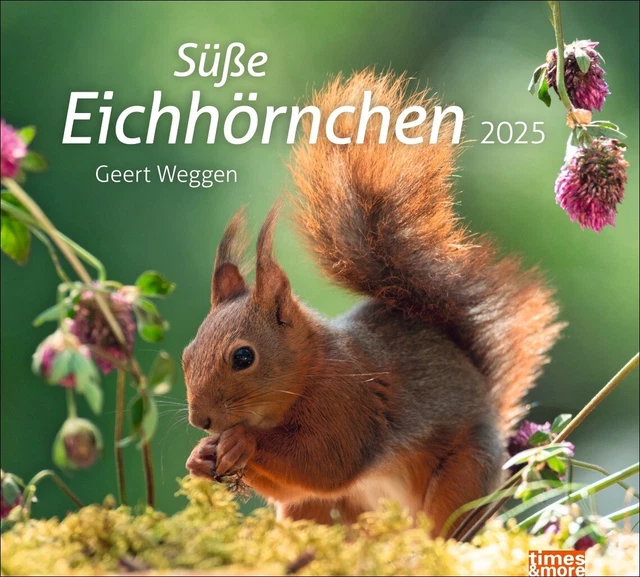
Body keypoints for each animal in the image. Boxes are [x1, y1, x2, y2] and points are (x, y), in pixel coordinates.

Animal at [184, 70, 564, 537]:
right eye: (186, 355)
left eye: (243, 357)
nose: (200, 420)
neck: (310, 371)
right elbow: (294, 485)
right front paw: (201, 456)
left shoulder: (353, 401)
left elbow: (327, 462)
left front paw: (241, 441)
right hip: (319, 513)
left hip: (464, 476)